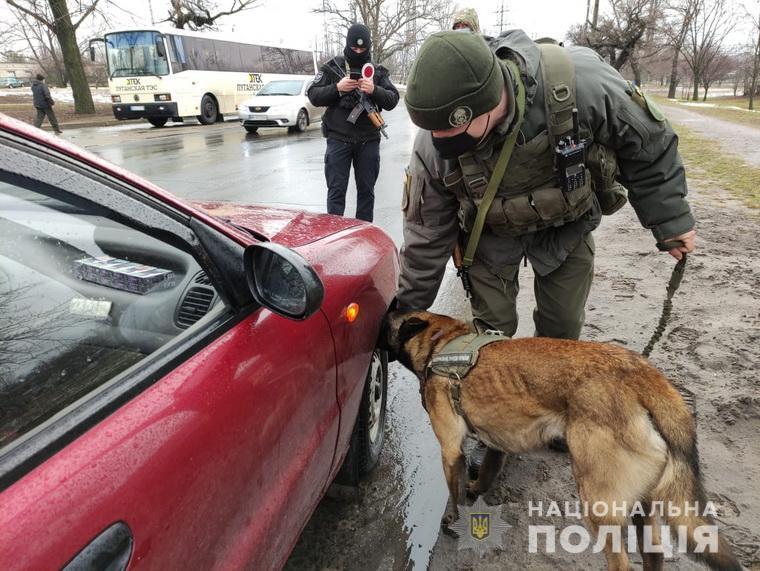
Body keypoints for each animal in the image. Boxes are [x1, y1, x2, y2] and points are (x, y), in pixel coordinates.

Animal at [382, 312, 740, 571]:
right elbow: (487, 471)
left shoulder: (450, 450)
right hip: (645, 504)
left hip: (599, 504)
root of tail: (641, 373)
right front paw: (477, 487)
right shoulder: (497, 442)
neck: (442, 342)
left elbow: (454, 491)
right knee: (653, 555)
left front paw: (453, 518)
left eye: (386, 323)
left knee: (621, 562)